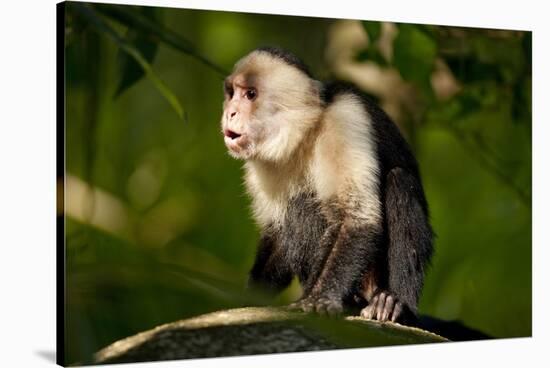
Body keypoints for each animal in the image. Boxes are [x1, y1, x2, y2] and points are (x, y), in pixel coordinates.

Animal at [220, 46, 436, 324]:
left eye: (250, 94)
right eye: (231, 93)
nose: (230, 112)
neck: (305, 132)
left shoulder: (343, 120)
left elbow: (356, 218)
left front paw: (322, 298)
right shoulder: (262, 164)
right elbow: (276, 234)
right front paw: (250, 297)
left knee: (399, 181)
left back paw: (394, 303)